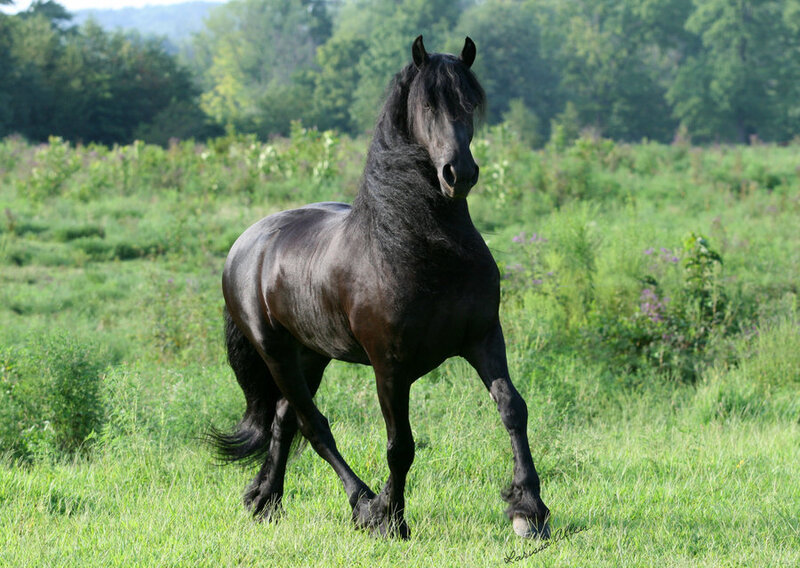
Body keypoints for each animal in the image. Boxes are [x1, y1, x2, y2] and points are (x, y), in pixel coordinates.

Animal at [214, 35, 550, 539]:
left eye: (470, 103)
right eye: (427, 103)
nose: (459, 174)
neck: (418, 245)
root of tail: (245, 245)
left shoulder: (483, 337)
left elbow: (513, 409)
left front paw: (529, 510)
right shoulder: (390, 367)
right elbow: (400, 445)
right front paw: (391, 518)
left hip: (311, 354)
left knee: (283, 421)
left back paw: (265, 500)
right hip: (275, 353)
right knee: (313, 425)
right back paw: (362, 503)